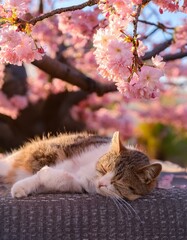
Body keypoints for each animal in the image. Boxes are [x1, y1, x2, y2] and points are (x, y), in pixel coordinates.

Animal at [0, 131, 161, 201]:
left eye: (118, 182)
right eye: (104, 169)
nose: (102, 183)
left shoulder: (79, 185)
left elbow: (54, 179)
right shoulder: (68, 163)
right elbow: (39, 175)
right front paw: (22, 186)